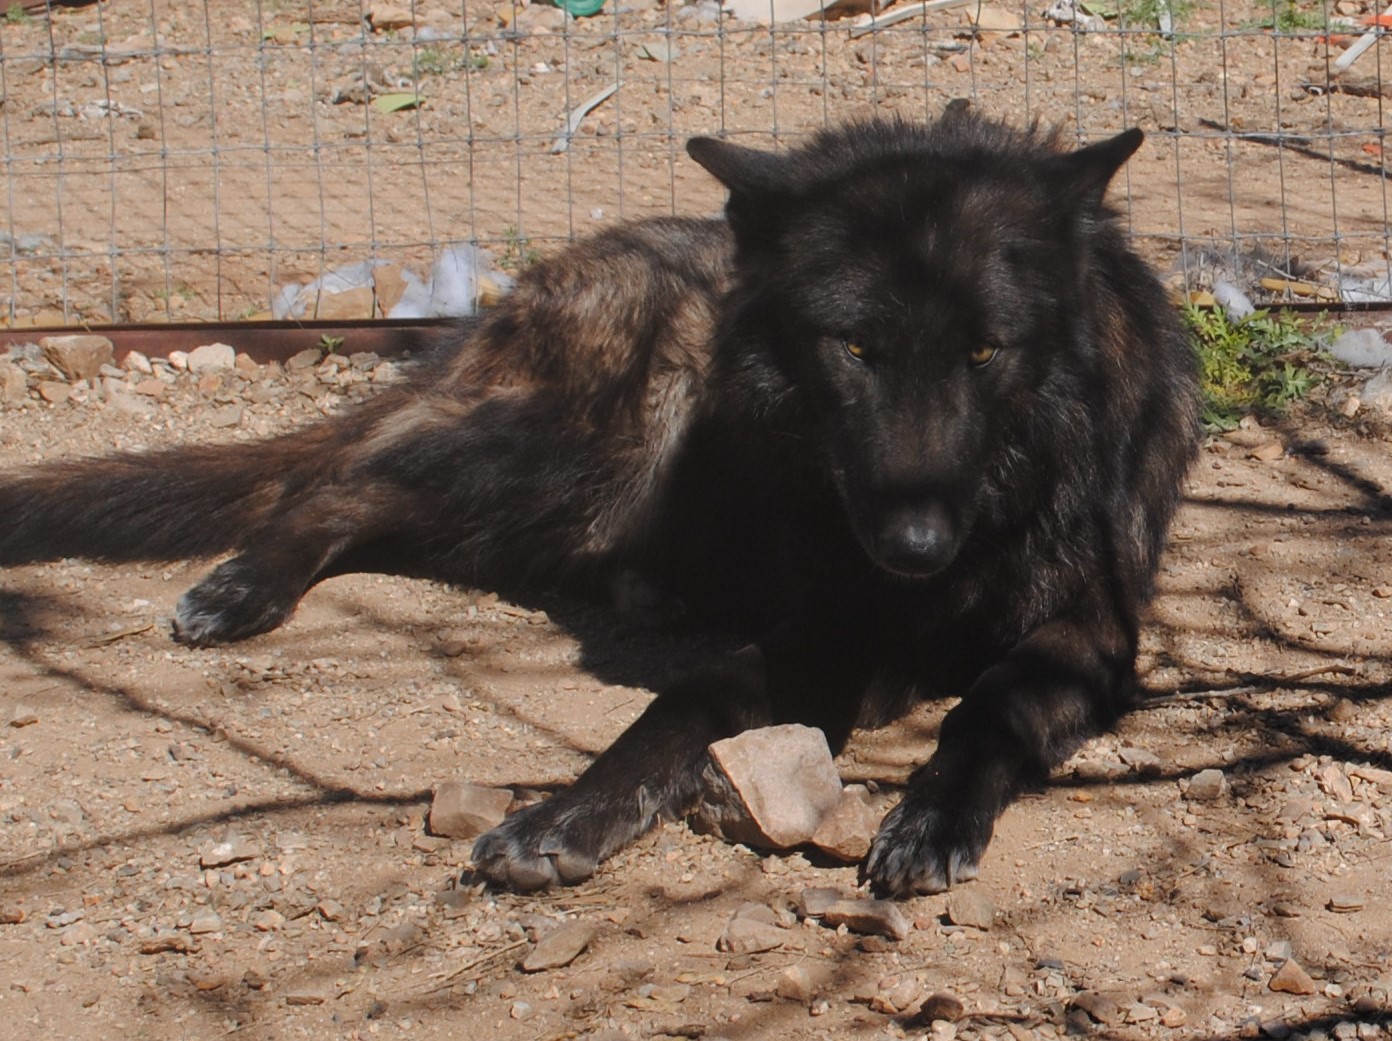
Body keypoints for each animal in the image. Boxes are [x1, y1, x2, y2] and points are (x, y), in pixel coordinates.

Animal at [0, 112, 1197, 896]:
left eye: (985, 352)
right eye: (855, 349)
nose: (912, 545)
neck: (989, 508)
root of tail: (533, 284)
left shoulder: (1089, 632)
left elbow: (987, 704)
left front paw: (934, 816)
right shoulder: (826, 630)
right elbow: (687, 701)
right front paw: (569, 809)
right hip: (596, 452)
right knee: (339, 482)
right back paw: (243, 587)